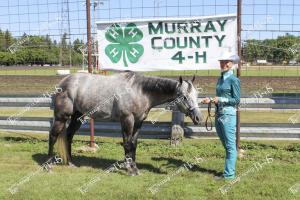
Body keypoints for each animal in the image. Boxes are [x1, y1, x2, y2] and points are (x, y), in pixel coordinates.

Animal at [48, 71, 203, 175]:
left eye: (196, 95)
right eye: (184, 97)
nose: (198, 118)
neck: (140, 91)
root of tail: (64, 81)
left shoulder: (138, 122)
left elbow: (133, 144)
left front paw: (134, 167)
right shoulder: (127, 119)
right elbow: (127, 144)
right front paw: (130, 169)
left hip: (77, 117)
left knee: (68, 136)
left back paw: (71, 163)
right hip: (61, 117)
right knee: (53, 136)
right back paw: (48, 165)